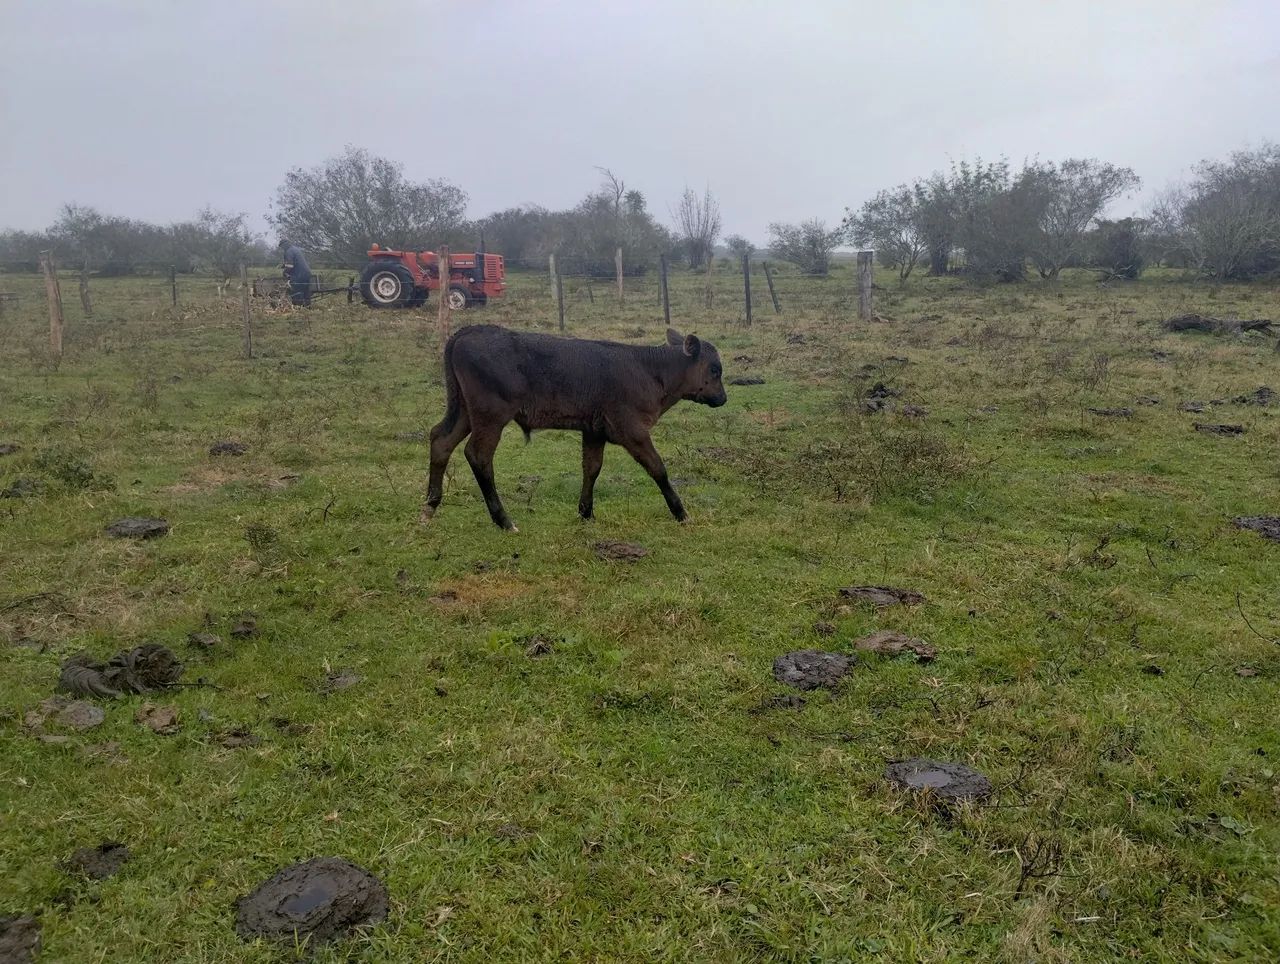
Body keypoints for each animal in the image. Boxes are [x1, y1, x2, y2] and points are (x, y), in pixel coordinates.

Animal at [421, 324, 727, 531]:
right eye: (714, 370)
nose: (723, 398)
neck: (650, 371)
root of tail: (470, 331)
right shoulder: (632, 429)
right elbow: (658, 469)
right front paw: (681, 513)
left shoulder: (594, 430)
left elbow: (591, 469)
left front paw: (585, 512)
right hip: (490, 415)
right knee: (478, 456)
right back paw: (504, 520)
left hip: (464, 411)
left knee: (441, 440)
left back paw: (430, 507)